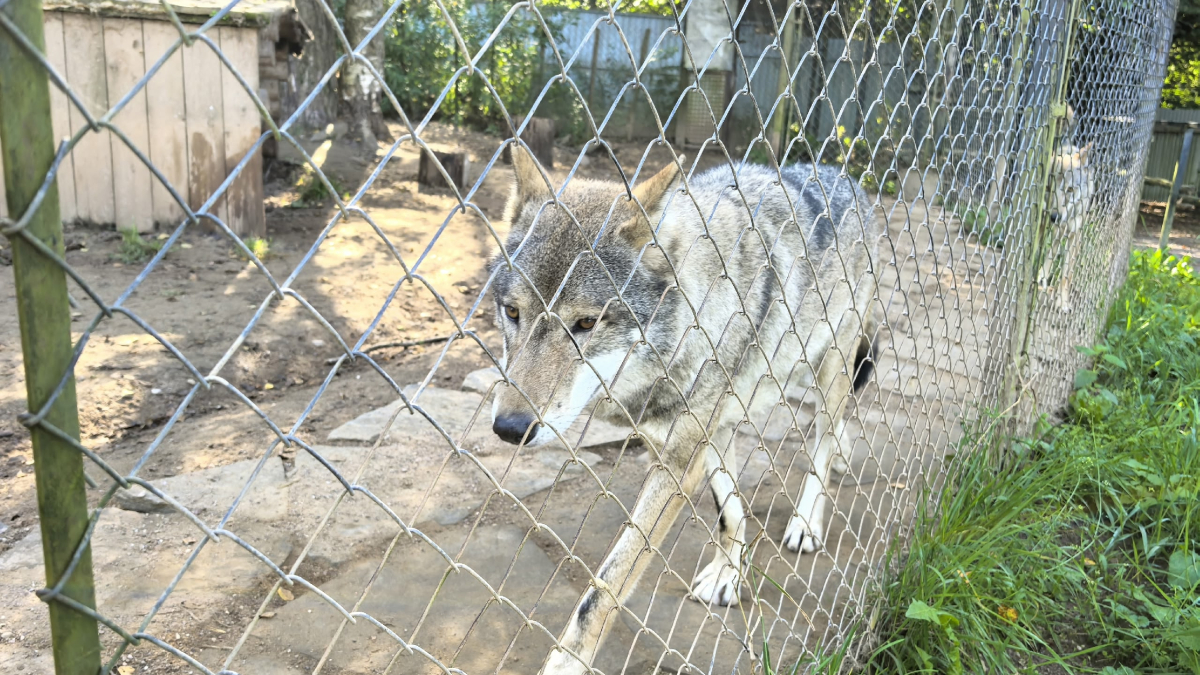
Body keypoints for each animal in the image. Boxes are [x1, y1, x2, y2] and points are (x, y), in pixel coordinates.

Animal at [486, 148, 883, 675]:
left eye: (587, 323)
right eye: (512, 313)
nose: (509, 429)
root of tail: (842, 175)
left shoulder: (679, 459)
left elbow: (604, 588)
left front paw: (566, 663)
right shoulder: (700, 435)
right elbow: (730, 510)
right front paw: (728, 575)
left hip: (830, 366)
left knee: (825, 433)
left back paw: (805, 522)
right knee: (834, 429)